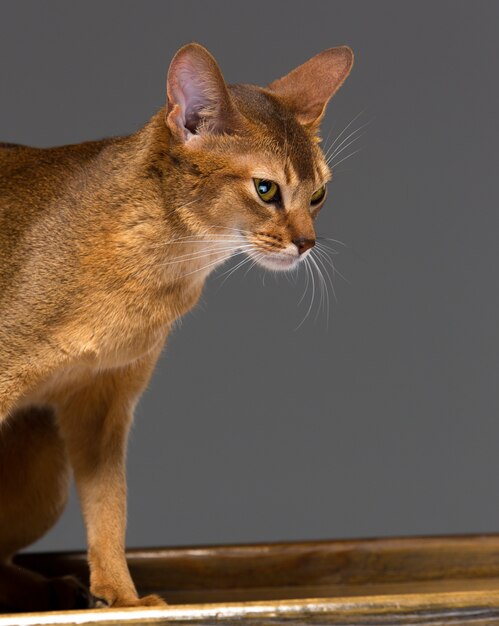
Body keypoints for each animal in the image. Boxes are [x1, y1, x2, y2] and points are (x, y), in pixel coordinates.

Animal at [0, 41, 354, 608]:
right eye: (266, 189)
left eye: (318, 194)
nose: (307, 243)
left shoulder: (105, 403)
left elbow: (110, 510)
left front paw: (122, 598)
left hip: (44, 467)